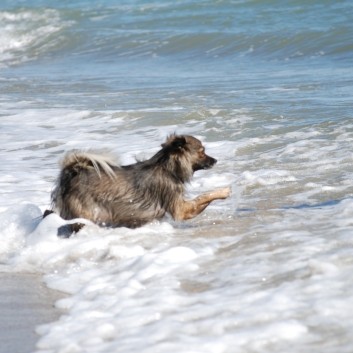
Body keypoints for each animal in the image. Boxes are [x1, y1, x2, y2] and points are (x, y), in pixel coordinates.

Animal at [49, 133, 231, 232]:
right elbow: (204, 196)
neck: (167, 168)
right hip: (85, 214)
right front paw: (223, 191)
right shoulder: (181, 210)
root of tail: (70, 173)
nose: (215, 160)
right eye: (202, 152)